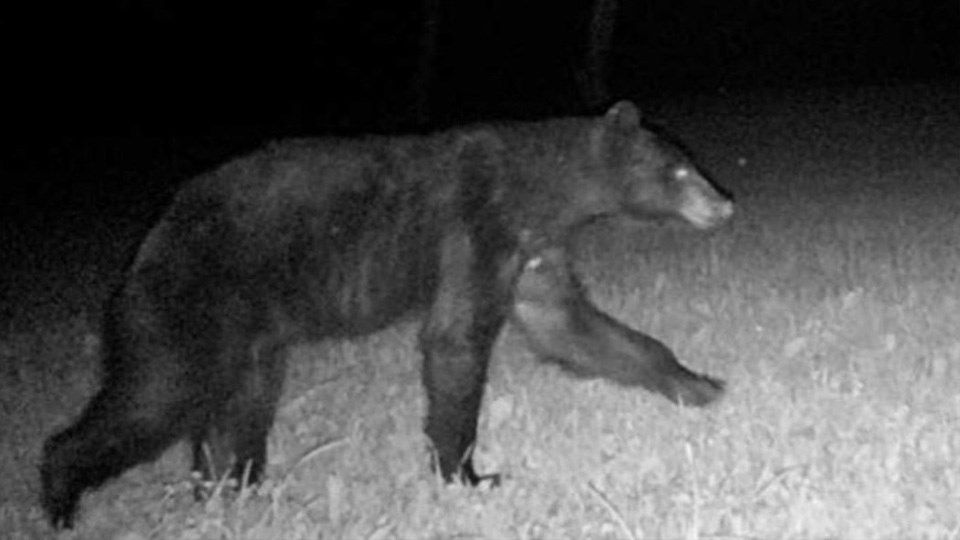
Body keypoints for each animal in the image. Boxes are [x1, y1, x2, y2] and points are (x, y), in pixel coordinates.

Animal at [40, 100, 733, 529]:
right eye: (679, 169)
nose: (724, 205)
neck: (542, 190)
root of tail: (152, 239)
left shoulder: (534, 251)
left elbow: (573, 326)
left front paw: (698, 383)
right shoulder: (477, 228)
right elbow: (455, 340)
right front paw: (468, 477)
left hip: (253, 336)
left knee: (238, 409)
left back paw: (233, 492)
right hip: (190, 304)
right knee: (158, 395)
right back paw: (62, 501)